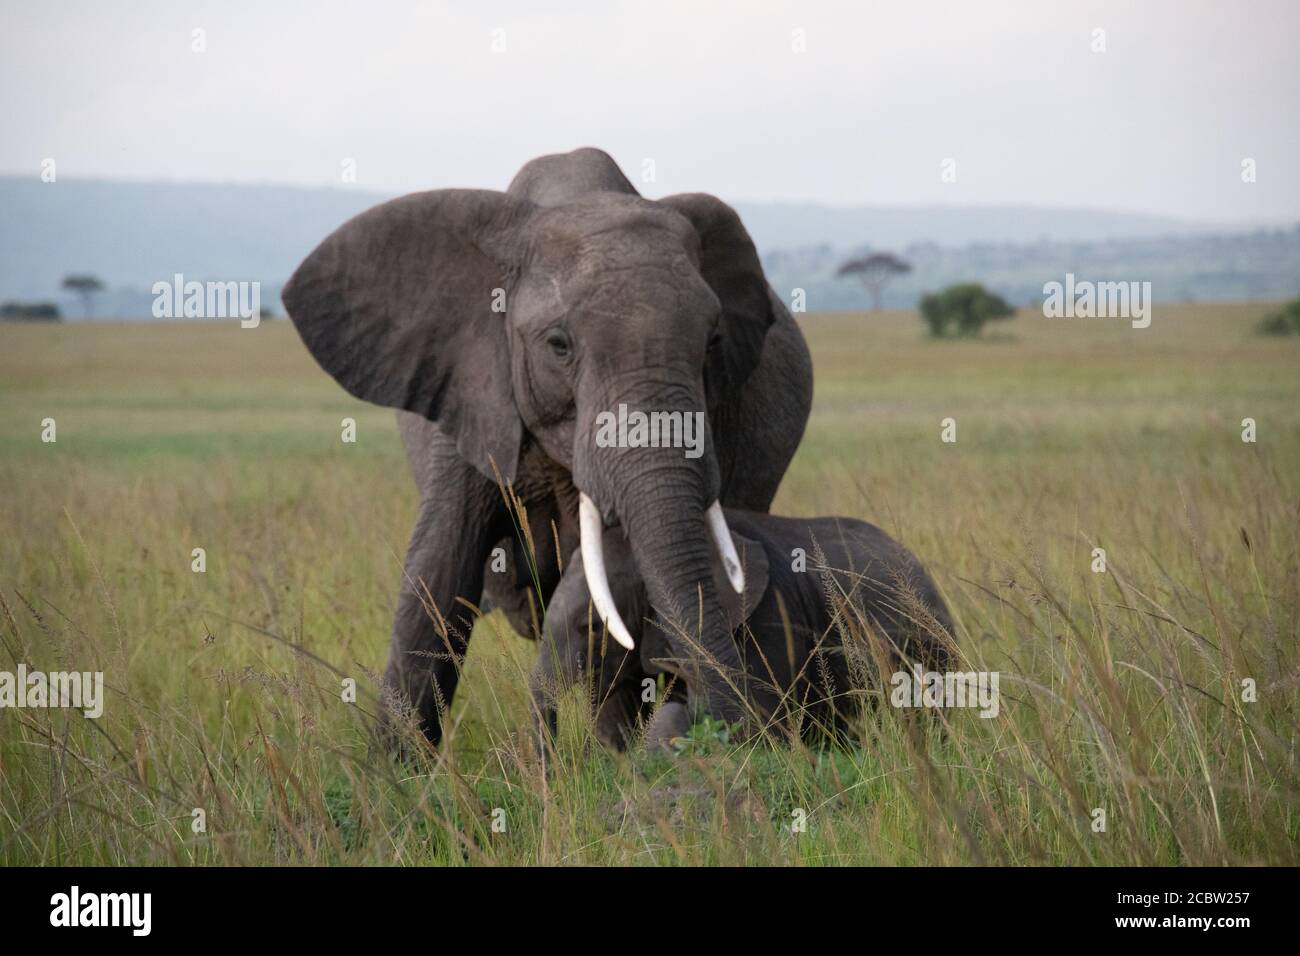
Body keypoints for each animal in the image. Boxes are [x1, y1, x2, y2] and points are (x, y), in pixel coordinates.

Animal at [282, 148, 813, 746]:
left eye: (713, 343)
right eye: (559, 346)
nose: (733, 730)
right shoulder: (473, 387)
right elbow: (437, 575)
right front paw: (394, 769)